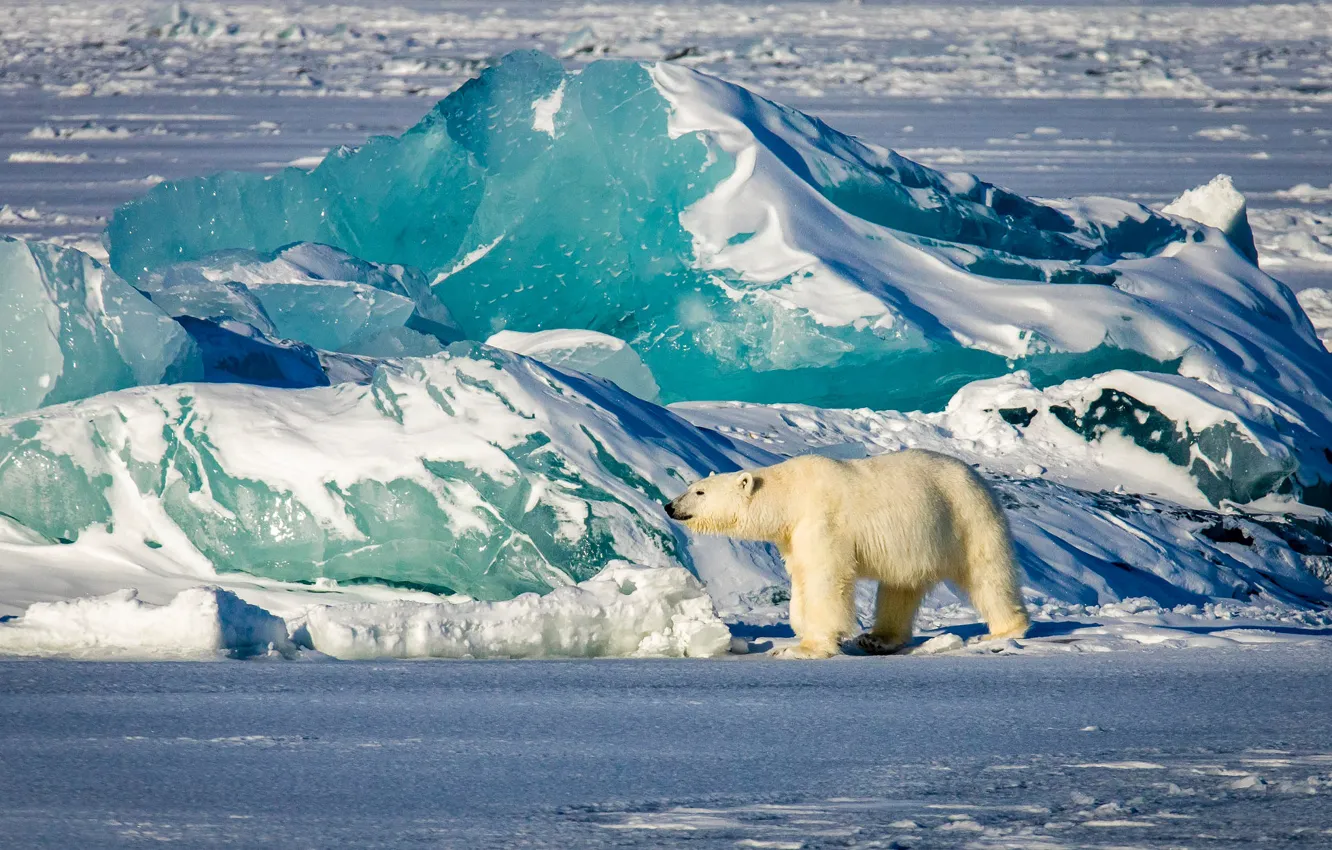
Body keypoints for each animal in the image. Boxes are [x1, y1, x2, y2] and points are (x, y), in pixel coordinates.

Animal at [664, 450, 1029, 659]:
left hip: (966, 518)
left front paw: (802, 648)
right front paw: (799, 629)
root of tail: (980, 478)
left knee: (987, 574)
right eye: (691, 486)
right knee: (899, 588)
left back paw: (1004, 630)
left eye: (699, 492)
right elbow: (801, 576)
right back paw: (878, 639)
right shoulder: (794, 535)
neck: (791, 495)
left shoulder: (823, 521)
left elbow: (825, 578)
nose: (670, 506)